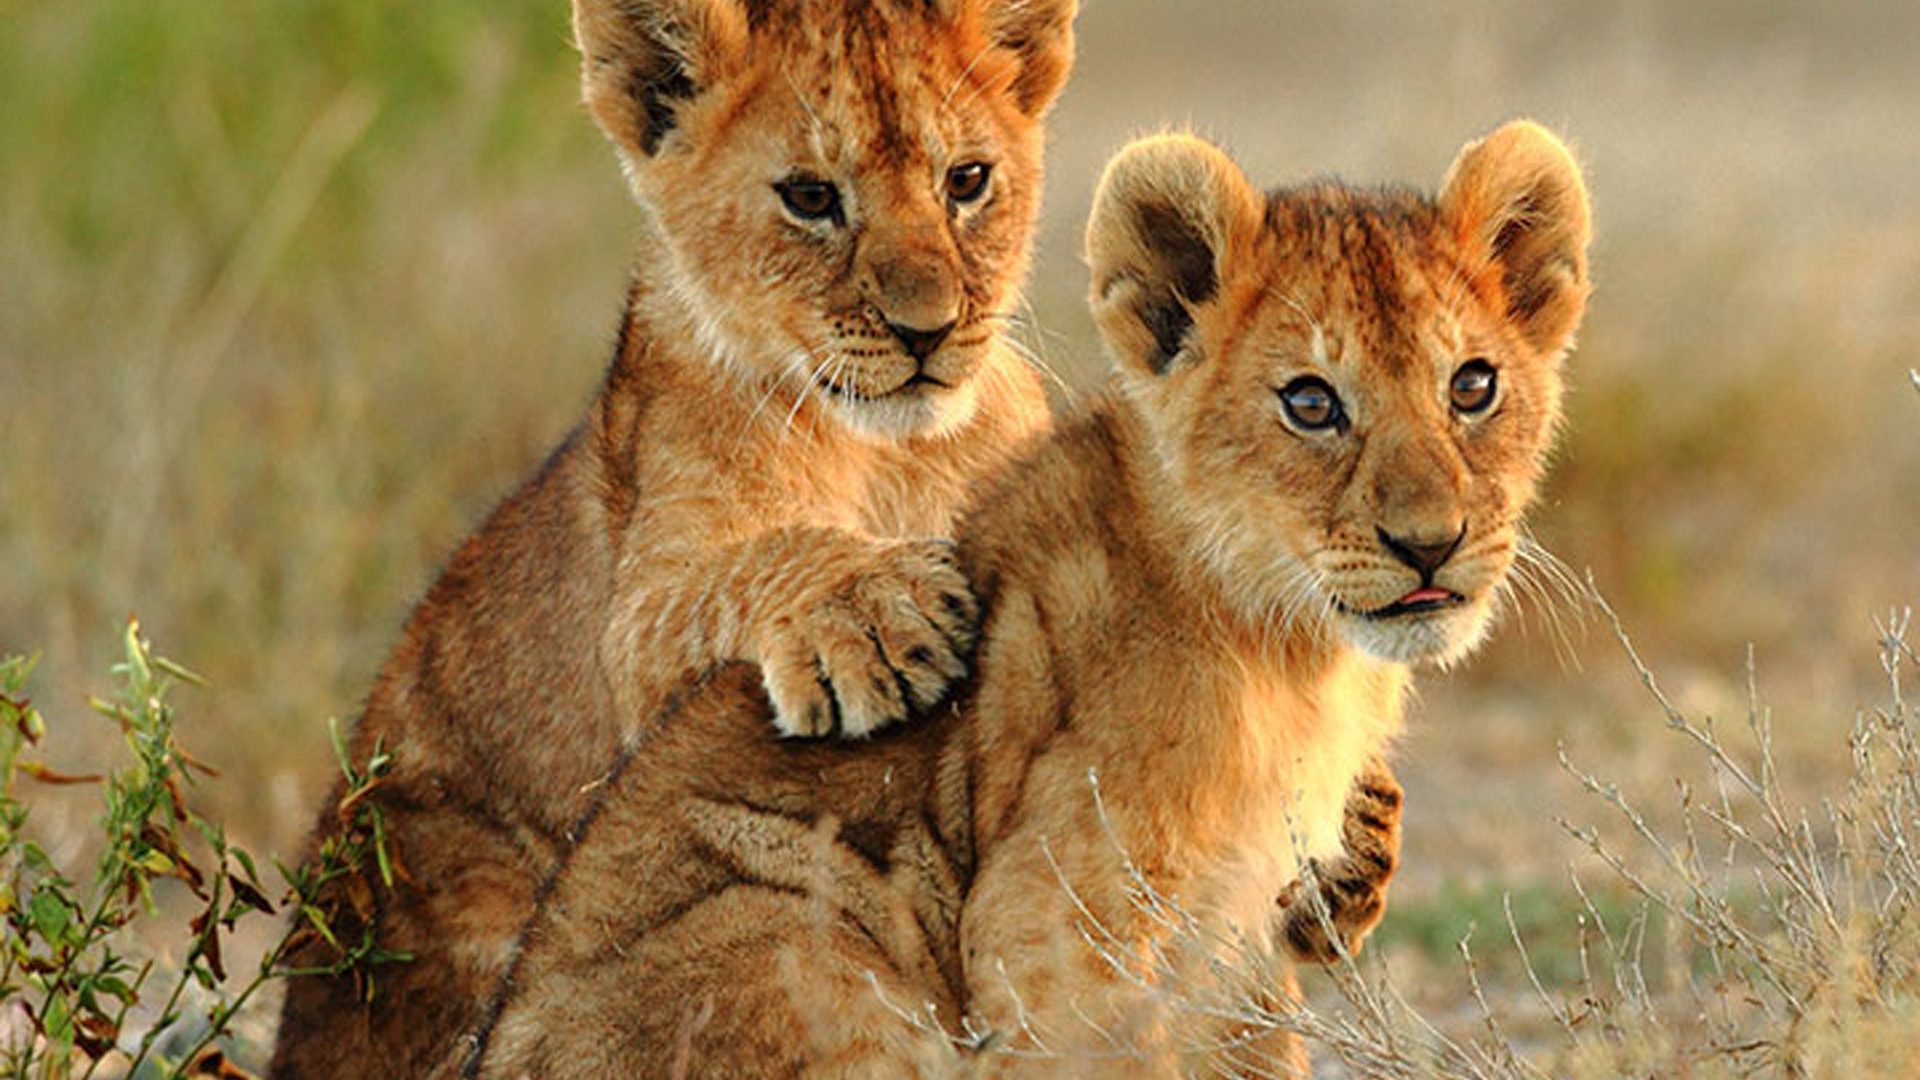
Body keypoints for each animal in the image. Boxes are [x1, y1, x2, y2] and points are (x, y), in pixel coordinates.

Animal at [269, 0, 1078, 1075]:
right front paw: (876, 610)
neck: (896, 454)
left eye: (968, 181)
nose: (929, 331)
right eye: (811, 197)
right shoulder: (641, 615)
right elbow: (740, 572)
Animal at [469, 119, 1592, 1077]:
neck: (1297, 654)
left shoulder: (1233, 941)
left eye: (1473, 386)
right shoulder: (1050, 928)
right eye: (1311, 403)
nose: (1431, 544)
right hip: (799, 925)